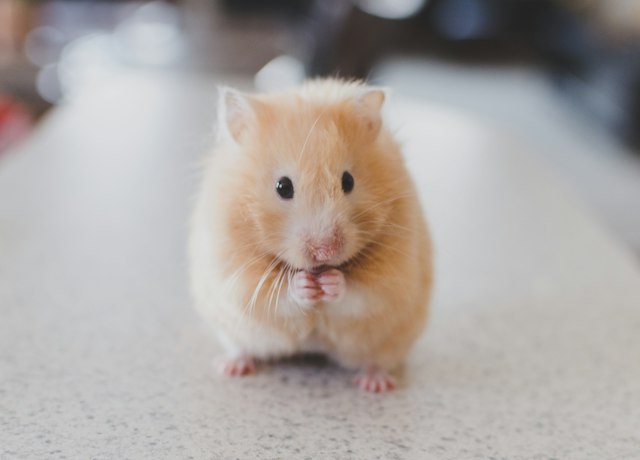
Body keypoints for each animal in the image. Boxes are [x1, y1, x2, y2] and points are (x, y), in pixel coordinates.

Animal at [189, 79, 432, 392]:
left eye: (348, 181)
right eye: (283, 186)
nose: (325, 251)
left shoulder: (393, 277)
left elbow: (361, 293)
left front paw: (331, 282)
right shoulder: (235, 274)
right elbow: (276, 295)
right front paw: (304, 285)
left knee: (377, 360)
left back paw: (374, 384)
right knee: (241, 347)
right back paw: (231, 367)